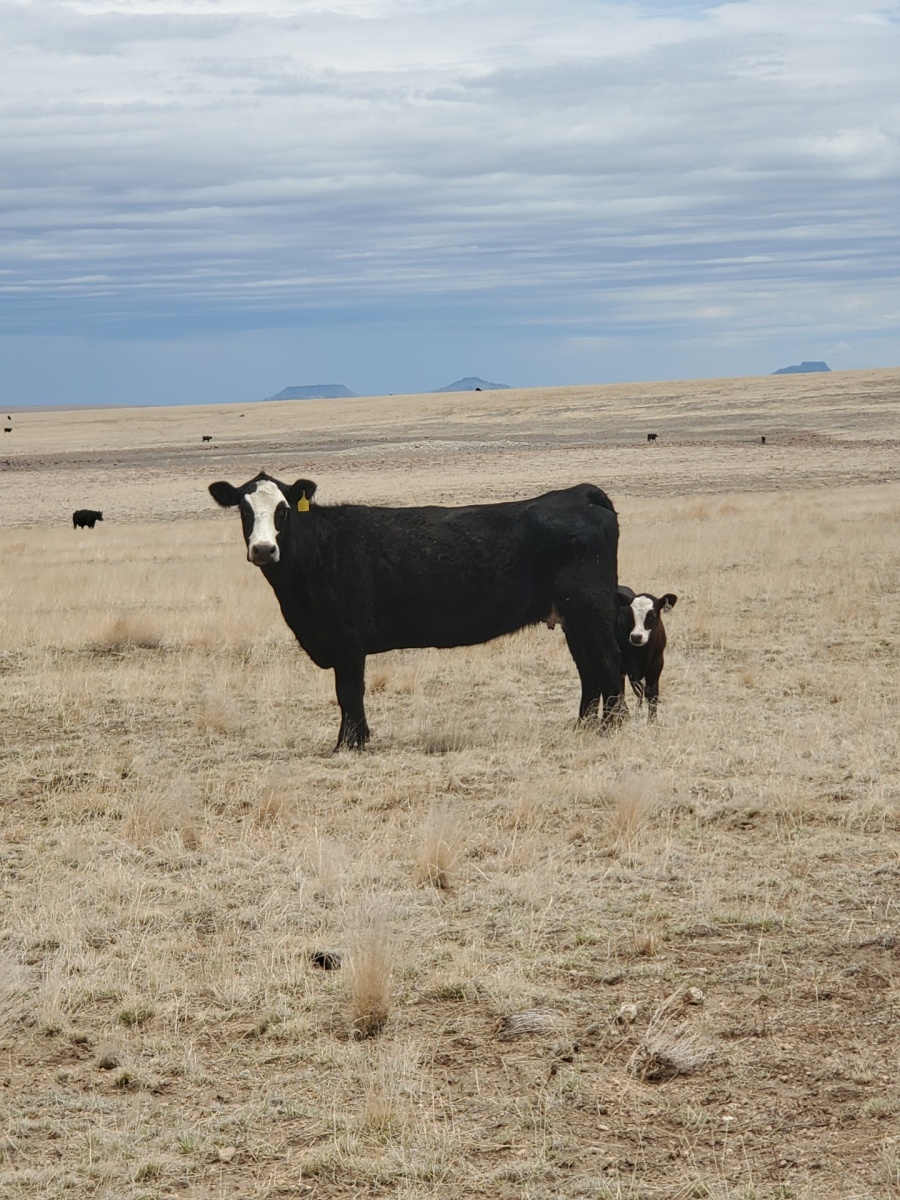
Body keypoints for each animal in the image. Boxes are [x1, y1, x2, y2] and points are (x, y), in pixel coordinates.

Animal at [210, 472, 624, 750]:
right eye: (244, 510)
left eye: (283, 510)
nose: (263, 549)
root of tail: (579, 494)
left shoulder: (347, 643)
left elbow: (349, 693)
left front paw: (349, 744)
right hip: (572, 618)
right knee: (588, 670)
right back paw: (585, 727)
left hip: (592, 608)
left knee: (608, 662)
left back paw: (614, 728)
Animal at [615, 586, 677, 720]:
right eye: (629, 615)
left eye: (652, 616)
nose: (636, 637)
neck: (643, 653)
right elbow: (624, 693)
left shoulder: (657, 665)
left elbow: (652, 694)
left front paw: (652, 721)